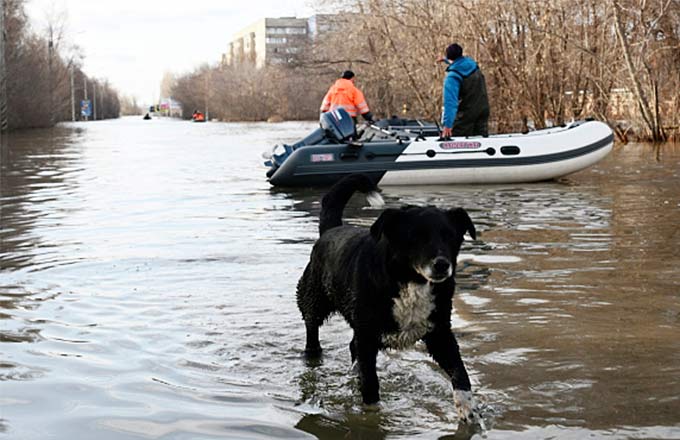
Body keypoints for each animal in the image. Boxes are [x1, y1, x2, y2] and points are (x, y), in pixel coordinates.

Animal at [296, 174, 478, 422]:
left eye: (450, 236)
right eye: (415, 237)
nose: (442, 265)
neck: (411, 280)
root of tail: (331, 230)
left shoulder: (439, 333)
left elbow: (460, 371)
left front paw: (468, 410)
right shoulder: (367, 335)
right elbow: (371, 384)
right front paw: (372, 417)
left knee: (352, 348)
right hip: (313, 300)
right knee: (312, 328)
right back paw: (313, 355)